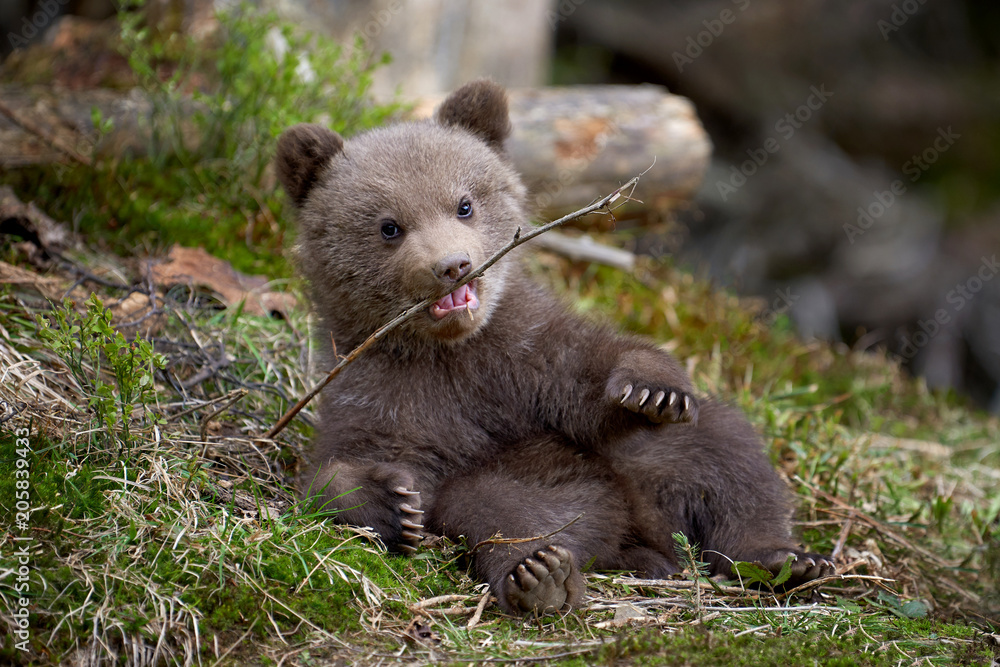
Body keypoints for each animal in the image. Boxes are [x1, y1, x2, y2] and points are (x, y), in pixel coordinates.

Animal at [275, 79, 835, 616]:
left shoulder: (525, 349)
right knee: (499, 509)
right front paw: (389, 501)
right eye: (389, 226)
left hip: (651, 462)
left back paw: (783, 559)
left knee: (727, 457)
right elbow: (343, 467)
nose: (453, 265)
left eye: (464, 204)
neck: (449, 351)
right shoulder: (381, 389)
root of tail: (639, 526)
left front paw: (652, 387)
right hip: (536, 490)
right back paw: (541, 574)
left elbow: (592, 382)